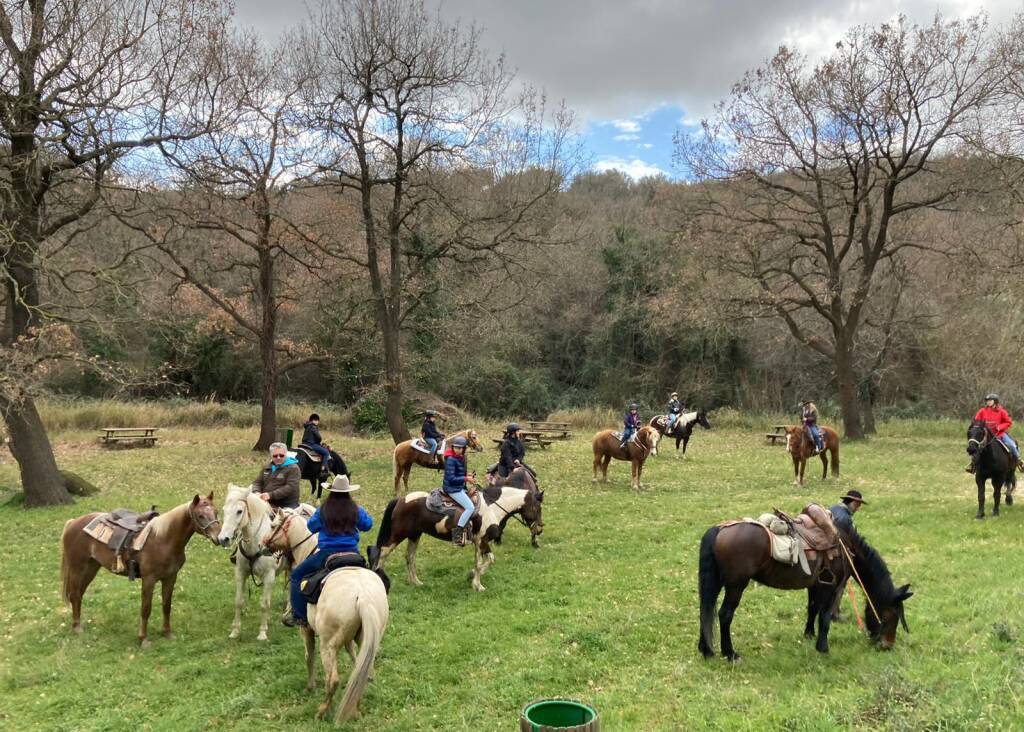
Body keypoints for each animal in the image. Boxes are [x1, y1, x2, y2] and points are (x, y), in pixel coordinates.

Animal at [60, 493, 222, 647]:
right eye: (200, 515)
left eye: (216, 512)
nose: (220, 538)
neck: (163, 539)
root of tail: (73, 522)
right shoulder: (149, 579)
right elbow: (146, 609)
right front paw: (143, 639)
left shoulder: (170, 577)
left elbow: (166, 606)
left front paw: (167, 633)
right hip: (77, 567)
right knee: (74, 595)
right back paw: (77, 628)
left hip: (91, 568)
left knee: (79, 594)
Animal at [262, 511, 389, 724]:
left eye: (273, 526)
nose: (262, 544)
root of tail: (362, 596)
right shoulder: (348, 638)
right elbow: (354, 657)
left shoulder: (306, 629)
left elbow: (309, 656)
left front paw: (310, 686)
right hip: (369, 637)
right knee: (363, 670)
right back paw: (354, 707)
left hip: (327, 645)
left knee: (333, 679)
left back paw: (322, 710)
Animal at [370, 475, 544, 589]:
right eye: (537, 507)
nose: (540, 529)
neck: (491, 507)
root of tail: (401, 499)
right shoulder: (483, 541)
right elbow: (487, 561)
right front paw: (476, 583)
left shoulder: (478, 542)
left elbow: (480, 562)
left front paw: (474, 580)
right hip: (398, 534)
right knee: (383, 553)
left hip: (414, 535)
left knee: (410, 556)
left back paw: (416, 582)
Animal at [696, 518, 913, 663]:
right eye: (892, 616)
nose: (887, 645)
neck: (845, 547)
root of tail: (718, 529)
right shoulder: (832, 587)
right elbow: (825, 616)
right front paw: (823, 647)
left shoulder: (816, 585)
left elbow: (812, 609)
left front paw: (809, 634)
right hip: (736, 586)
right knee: (725, 615)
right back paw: (730, 654)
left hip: (716, 583)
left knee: (706, 610)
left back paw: (706, 650)